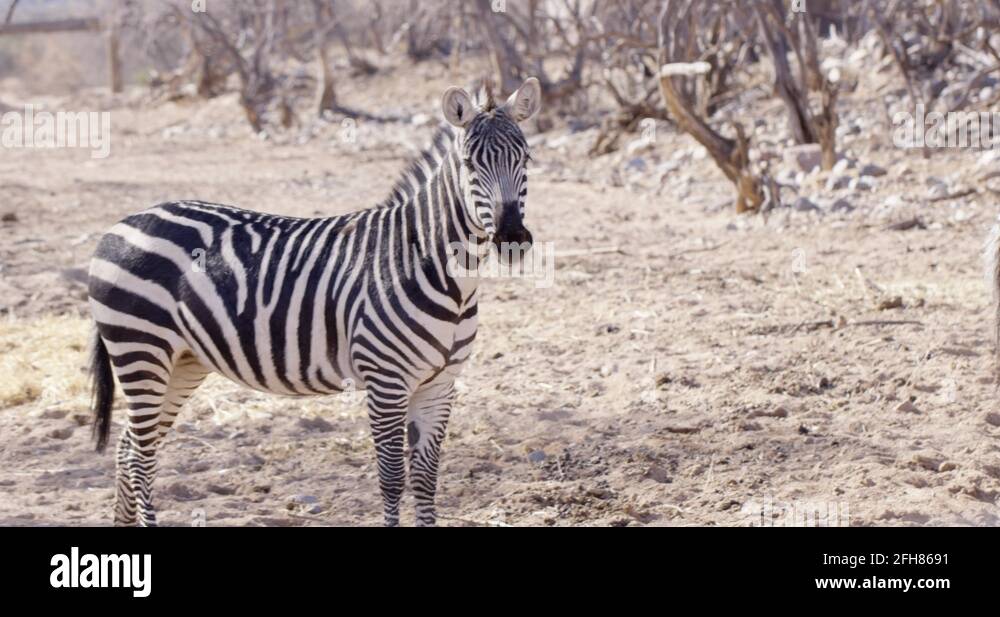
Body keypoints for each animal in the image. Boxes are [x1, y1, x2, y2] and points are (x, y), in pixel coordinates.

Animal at [87, 78, 542, 526]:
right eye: (468, 164)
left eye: (526, 158)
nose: (512, 238)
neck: (440, 271)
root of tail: (124, 222)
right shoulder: (387, 381)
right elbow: (393, 478)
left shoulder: (440, 386)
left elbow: (427, 480)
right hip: (141, 349)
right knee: (141, 455)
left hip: (182, 361)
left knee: (129, 446)